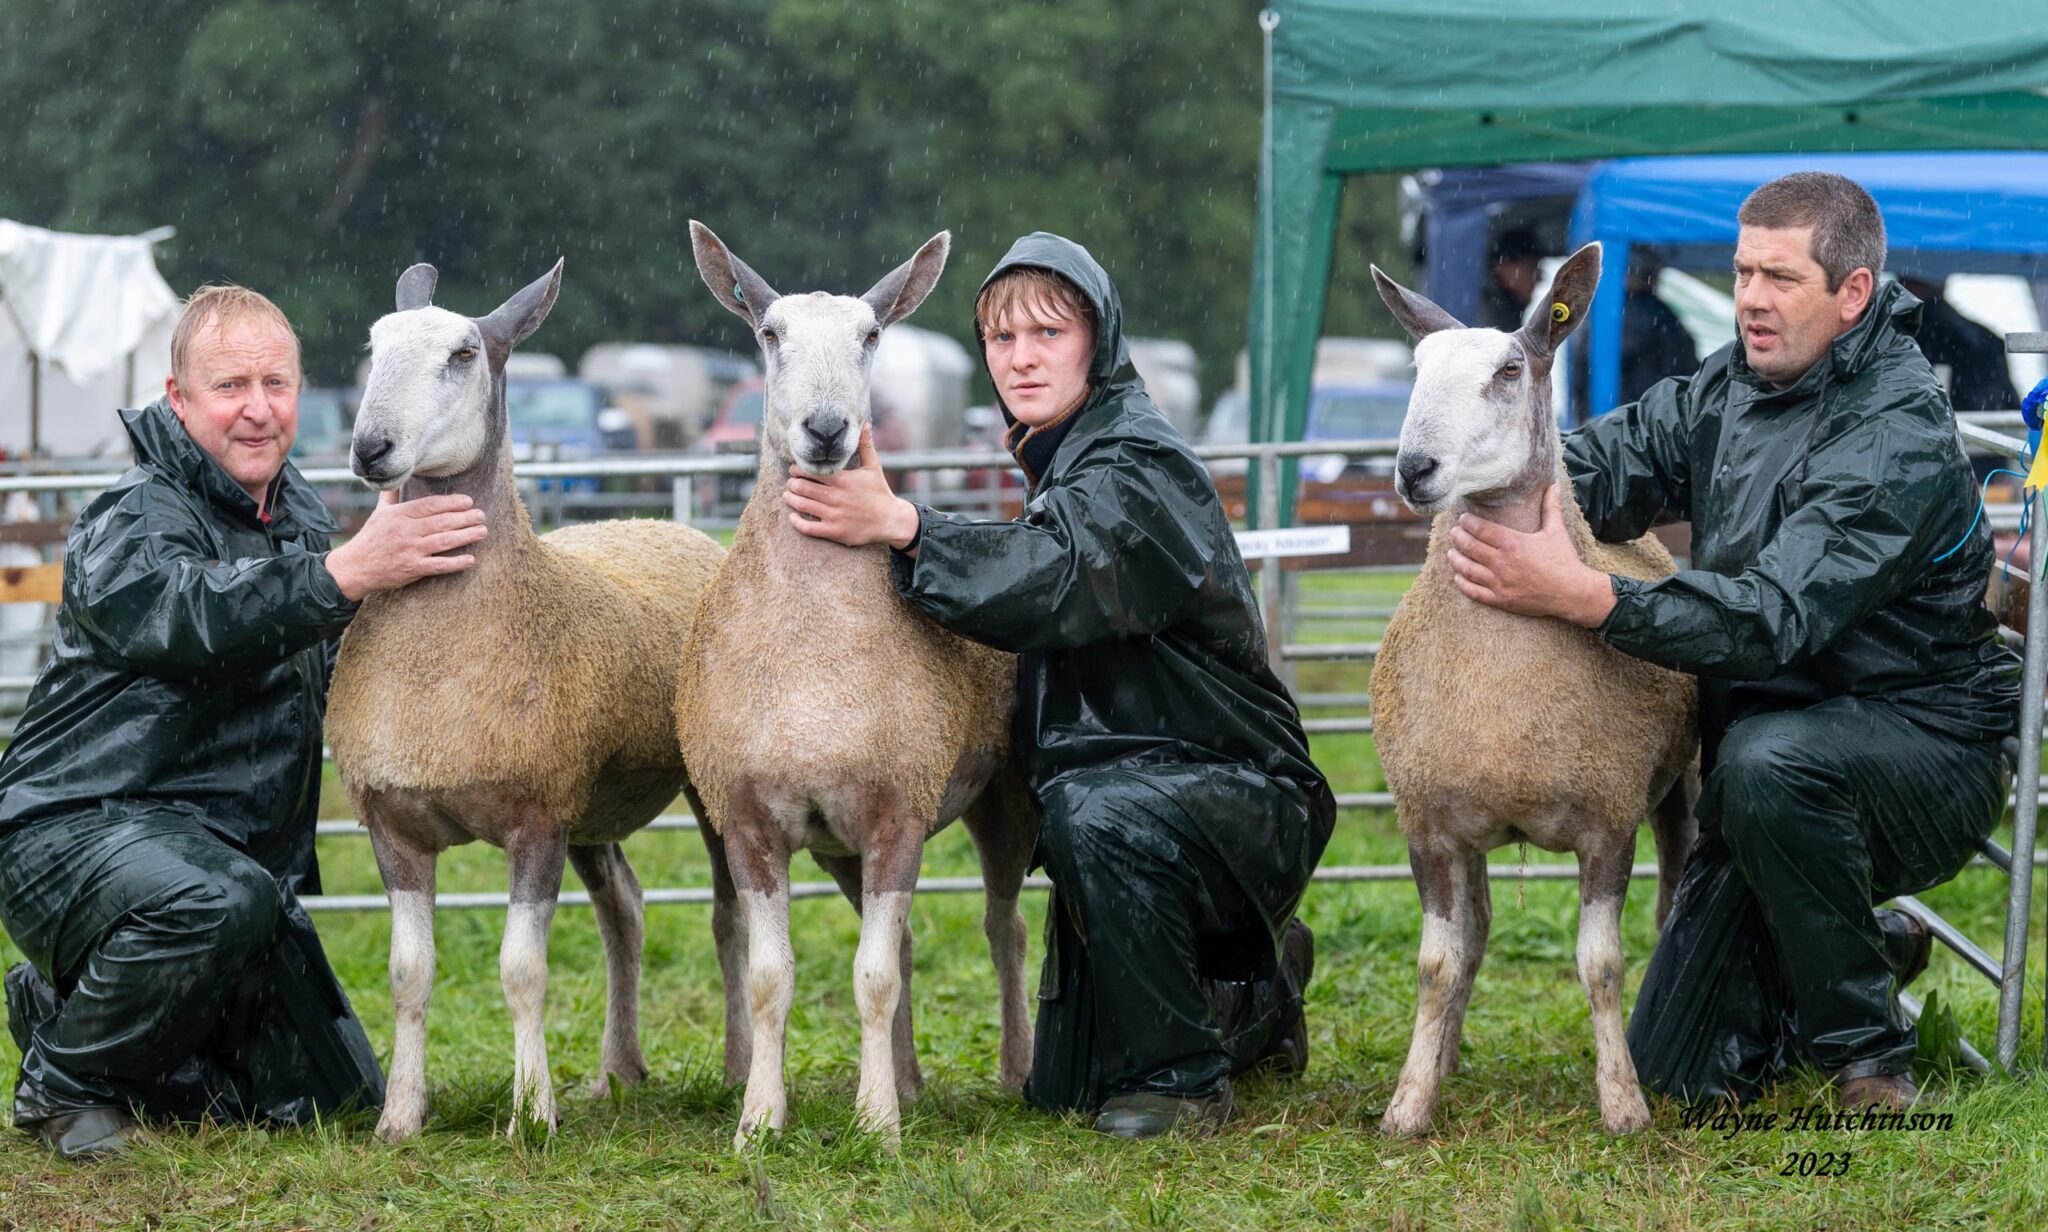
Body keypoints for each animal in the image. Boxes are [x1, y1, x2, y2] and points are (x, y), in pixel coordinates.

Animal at [327, 260, 729, 1137]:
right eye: (372, 345)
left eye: (464, 353)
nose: (371, 448)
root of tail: (662, 521)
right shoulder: (393, 824)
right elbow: (407, 972)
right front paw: (399, 1119)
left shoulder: (538, 818)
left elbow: (521, 970)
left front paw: (532, 1116)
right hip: (593, 803)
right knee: (626, 909)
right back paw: (618, 1071)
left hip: (696, 790)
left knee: (727, 913)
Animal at [679, 223, 1040, 1154]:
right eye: (769, 333)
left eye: (871, 336)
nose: (826, 428)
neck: (815, 658)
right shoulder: (752, 819)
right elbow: (772, 977)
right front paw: (760, 1121)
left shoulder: (900, 808)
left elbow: (872, 975)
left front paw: (876, 1127)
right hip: (843, 847)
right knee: (911, 944)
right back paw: (910, 1080)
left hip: (1005, 799)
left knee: (1004, 927)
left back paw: (1014, 1070)